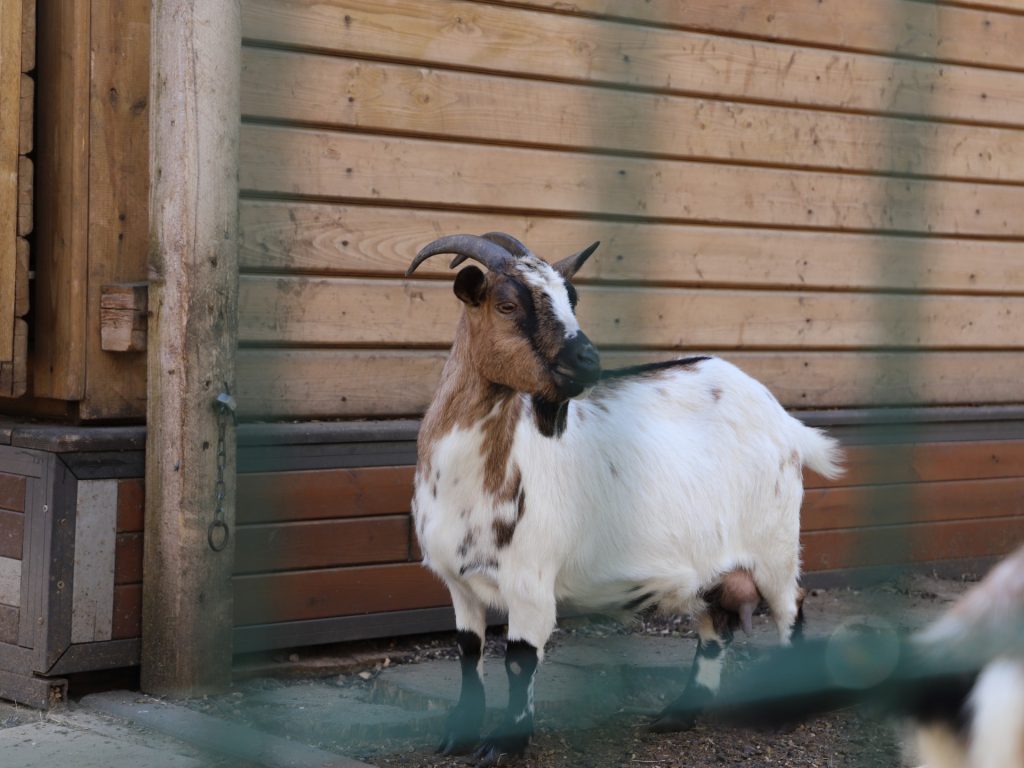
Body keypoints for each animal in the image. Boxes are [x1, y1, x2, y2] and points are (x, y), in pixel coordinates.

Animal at [406, 233, 843, 765]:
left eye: (572, 298)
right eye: (507, 305)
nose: (588, 361)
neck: (466, 480)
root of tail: (784, 420)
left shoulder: (530, 581)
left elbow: (519, 660)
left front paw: (503, 744)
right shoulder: (458, 582)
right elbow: (468, 653)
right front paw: (458, 735)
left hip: (774, 543)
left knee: (790, 609)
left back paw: (782, 713)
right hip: (711, 563)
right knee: (715, 628)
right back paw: (678, 715)